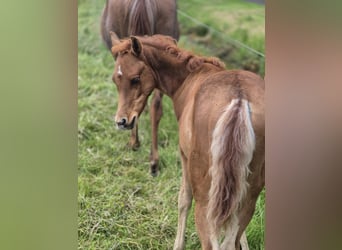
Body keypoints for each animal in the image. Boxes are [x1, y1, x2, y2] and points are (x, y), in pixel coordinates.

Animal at [100, 0, 179, 176]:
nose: (121, 123)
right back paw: (154, 162)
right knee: (156, 105)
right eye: (114, 80)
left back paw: (134, 143)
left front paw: (133, 142)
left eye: (135, 79)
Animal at [109, 33, 264, 250]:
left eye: (135, 79)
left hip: (206, 199)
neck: (189, 79)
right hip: (249, 192)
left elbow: (183, 199)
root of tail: (239, 100)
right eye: (116, 79)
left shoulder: (184, 156)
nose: (122, 121)